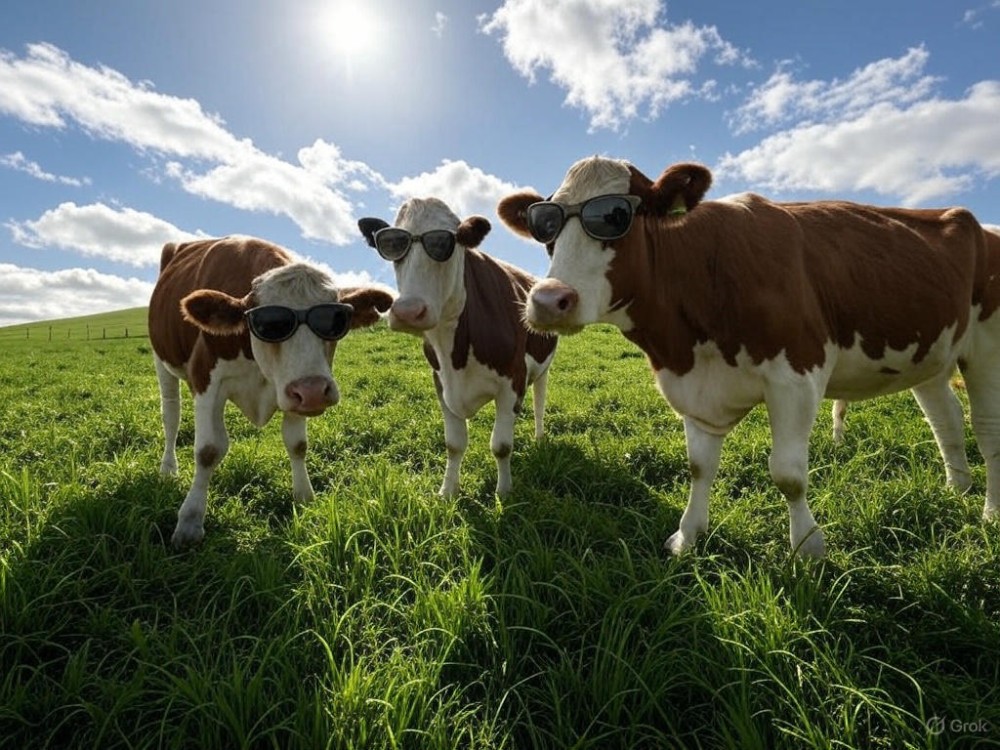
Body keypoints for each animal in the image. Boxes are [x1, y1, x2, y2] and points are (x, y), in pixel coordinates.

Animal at [149, 235, 394, 547]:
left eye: (337, 319)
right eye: (270, 323)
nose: (314, 390)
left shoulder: (293, 387)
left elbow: (297, 445)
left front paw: (304, 497)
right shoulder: (205, 378)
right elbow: (207, 450)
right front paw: (190, 520)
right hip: (162, 363)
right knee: (171, 416)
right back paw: (168, 469)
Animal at [358, 197, 557, 498]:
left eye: (445, 243)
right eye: (392, 245)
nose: (408, 312)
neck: (455, 352)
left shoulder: (513, 379)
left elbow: (501, 446)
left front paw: (504, 492)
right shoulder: (441, 382)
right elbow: (454, 444)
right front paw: (447, 491)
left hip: (543, 369)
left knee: (539, 403)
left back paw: (540, 437)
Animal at [498, 156, 1000, 557]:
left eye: (616, 214)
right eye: (546, 225)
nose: (548, 300)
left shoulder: (797, 375)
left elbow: (788, 475)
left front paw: (807, 549)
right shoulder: (694, 386)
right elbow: (699, 466)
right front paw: (688, 537)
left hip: (987, 348)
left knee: (986, 431)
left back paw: (989, 513)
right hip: (930, 354)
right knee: (946, 420)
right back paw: (956, 490)